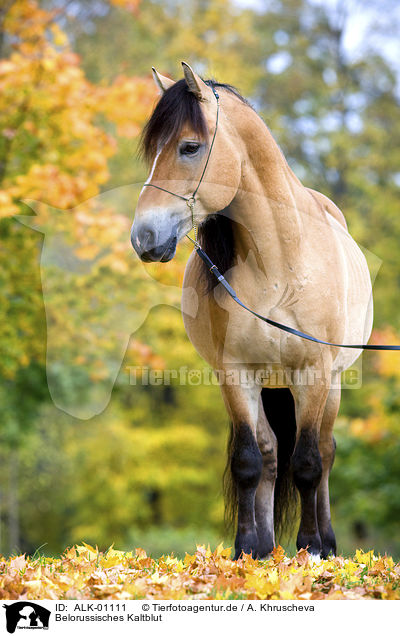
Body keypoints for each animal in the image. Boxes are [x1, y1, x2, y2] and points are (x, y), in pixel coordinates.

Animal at [130, 62, 372, 560]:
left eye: (189, 147)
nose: (143, 237)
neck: (280, 262)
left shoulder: (314, 371)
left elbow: (309, 462)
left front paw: (311, 548)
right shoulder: (235, 372)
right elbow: (249, 460)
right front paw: (247, 551)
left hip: (332, 383)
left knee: (323, 451)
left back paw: (326, 542)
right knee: (270, 454)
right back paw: (265, 547)